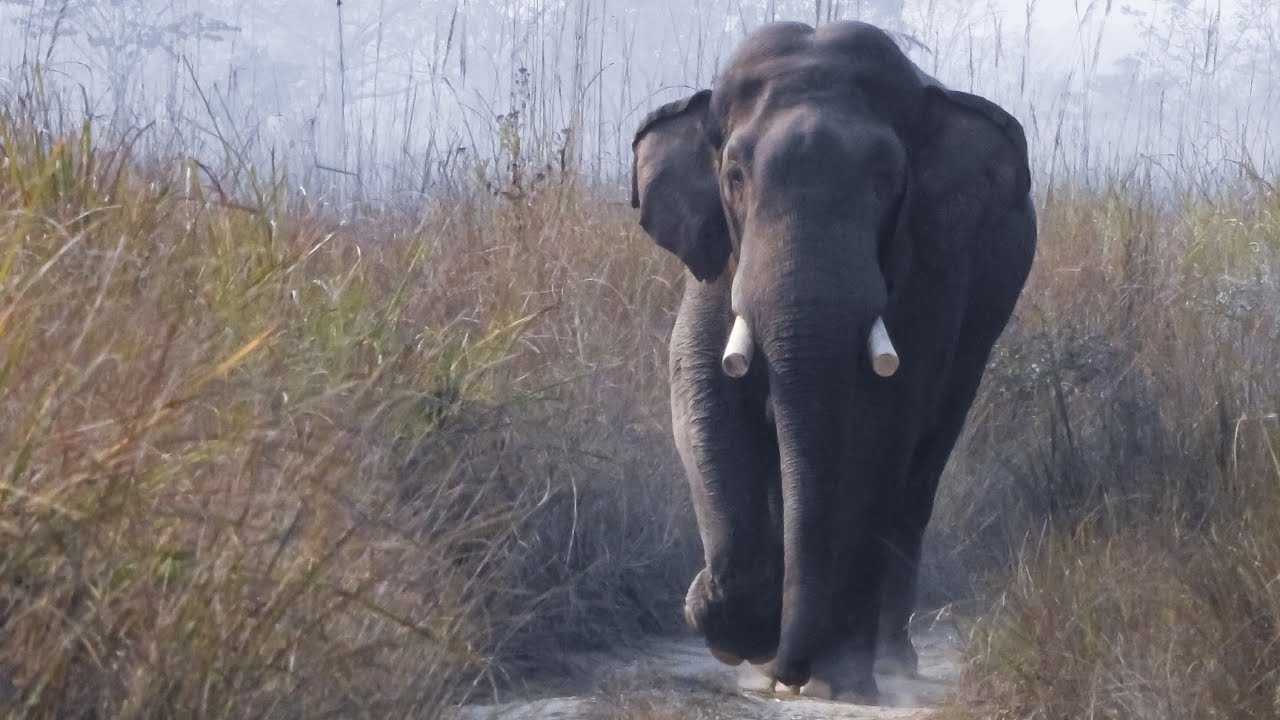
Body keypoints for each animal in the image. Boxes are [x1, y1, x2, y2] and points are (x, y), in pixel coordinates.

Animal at [629, 21, 1036, 702]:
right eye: (734, 176)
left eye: (887, 179)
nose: (791, 671)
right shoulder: (715, 252)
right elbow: (702, 392)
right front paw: (729, 620)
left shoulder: (928, 267)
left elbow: (878, 423)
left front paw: (833, 683)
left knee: (917, 476)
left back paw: (889, 664)